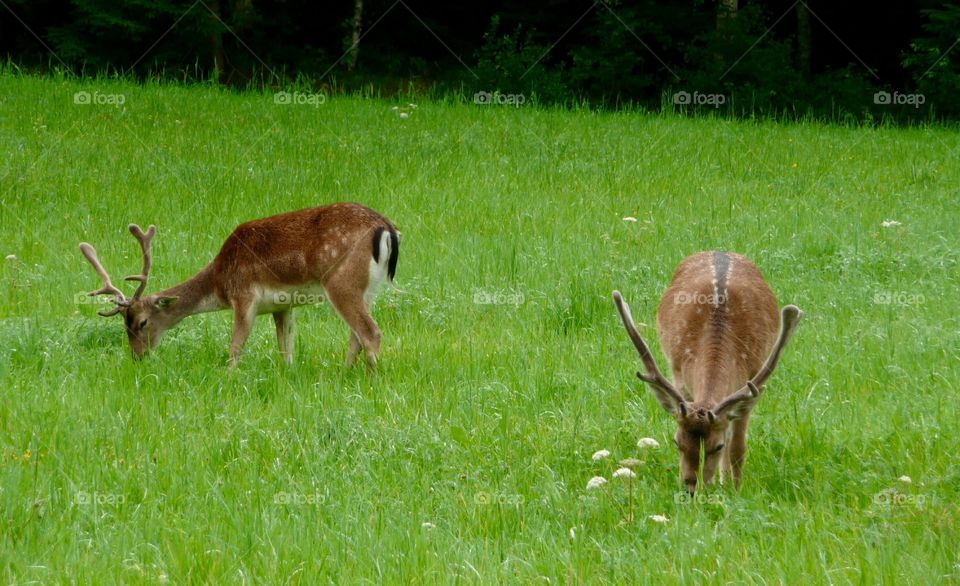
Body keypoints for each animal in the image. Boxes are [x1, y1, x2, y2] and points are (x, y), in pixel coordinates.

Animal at [77, 201, 402, 368]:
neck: (220, 281)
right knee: (356, 336)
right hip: (369, 288)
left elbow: (234, 348)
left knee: (370, 332)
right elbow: (286, 349)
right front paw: (287, 375)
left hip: (341, 281)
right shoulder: (282, 305)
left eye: (142, 322)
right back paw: (344, 374)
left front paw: (227, 376)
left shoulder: (244, 295)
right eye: (124, 325)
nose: (137, 356)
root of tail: (386, 228)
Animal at [616, 251, 804, 492]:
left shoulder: (752, 380)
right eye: (676, 441)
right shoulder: (679, 375)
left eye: (717, 446)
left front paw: (735, 489)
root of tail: (721, 251)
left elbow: (737, 449)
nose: (690, 488)